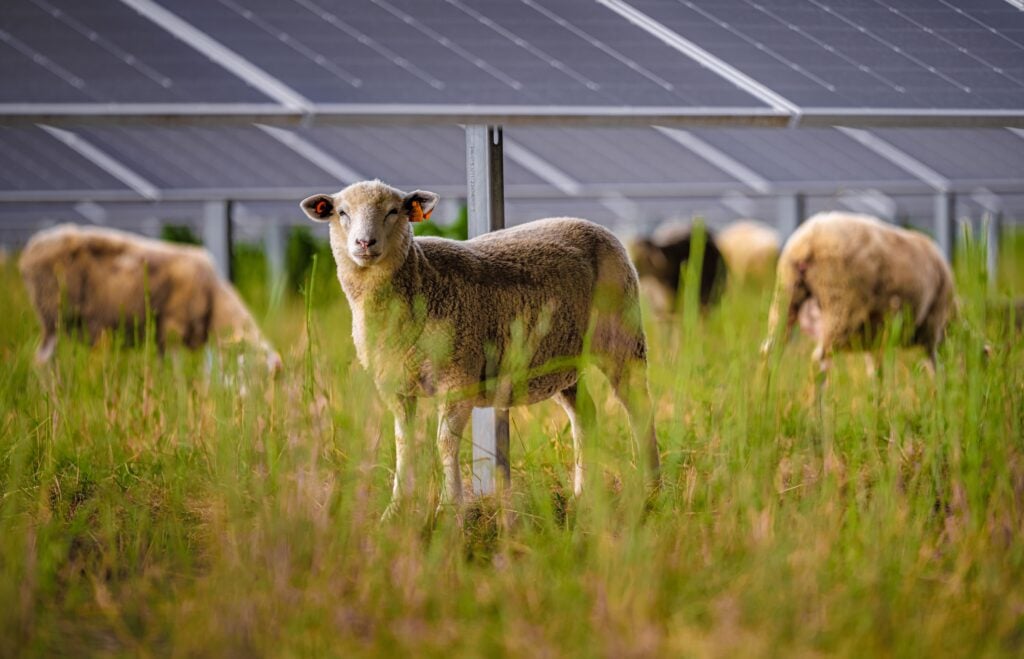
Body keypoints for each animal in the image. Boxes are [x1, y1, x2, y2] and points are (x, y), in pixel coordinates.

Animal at [18, 224, 281, 371]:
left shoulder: (164, 340)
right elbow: (177, 373)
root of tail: (32, 247)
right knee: (41, 361)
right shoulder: (172, 329)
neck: (215, 303)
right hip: (53, 314)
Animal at [300, 180, 660, 515]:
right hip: (561, 359)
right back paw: (582, 495)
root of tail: (594, 225)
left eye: (393, 211)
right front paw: (396, 509)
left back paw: (651, 488)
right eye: (341, 212)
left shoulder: (458, 378)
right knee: (585, 415)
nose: (364, 243)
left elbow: (445, 443)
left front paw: (449, 508)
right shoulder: (395, 384)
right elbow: (403, 442)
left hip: (623, 336)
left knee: (639, 408)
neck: (421, 279)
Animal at [761, 212, 954, 383]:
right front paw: (937, 394)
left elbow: (876, 373)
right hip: (841, 305)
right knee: (819, 361)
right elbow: (933, 366)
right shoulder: (931, 328)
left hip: (785, 298)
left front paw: (878, 399)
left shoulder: (874, 341)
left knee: (770, 351)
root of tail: (809, 242)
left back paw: (765, 396)